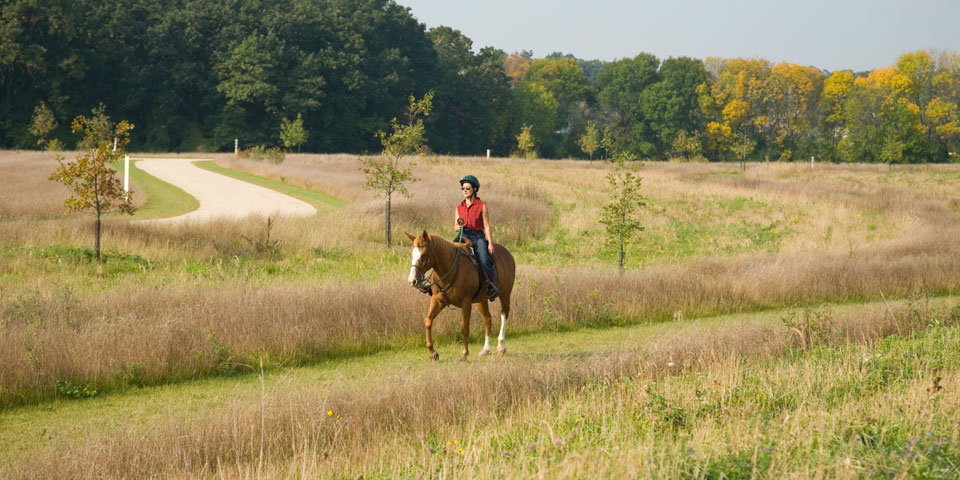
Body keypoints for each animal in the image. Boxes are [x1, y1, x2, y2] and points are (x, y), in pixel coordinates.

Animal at [406, 230, 515, 361]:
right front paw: (433, 353)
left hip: (505, 294)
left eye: (423, 255)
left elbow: (464, 328)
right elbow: (428, 321)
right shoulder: (438, 300)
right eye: (410, 254)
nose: (412, 280)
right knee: (488, 319)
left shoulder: (466, 303)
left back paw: (501, 347)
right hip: (481, 300)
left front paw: (464, 354)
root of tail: (507, 253)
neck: (450, 270)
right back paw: (485, 350)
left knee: (504, 314)